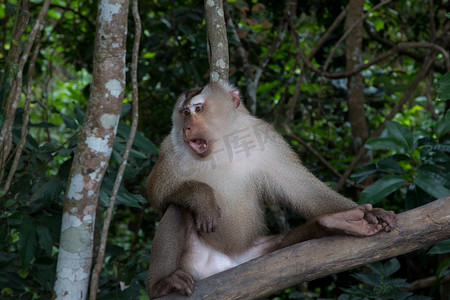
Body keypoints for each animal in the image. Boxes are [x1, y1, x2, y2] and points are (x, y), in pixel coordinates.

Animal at [146, 81, 396, 298]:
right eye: (184, 112)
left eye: (198, 108)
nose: (187, 127)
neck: (220, 146)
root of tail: (225, 266)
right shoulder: (170, 149)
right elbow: (157, 193)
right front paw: (202, 198)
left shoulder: (266, 138)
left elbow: (300, 188)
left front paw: (371, 213)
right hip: (193, 264)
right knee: (178, 209)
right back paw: (161, 284)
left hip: (253, 255)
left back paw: (332, 223)